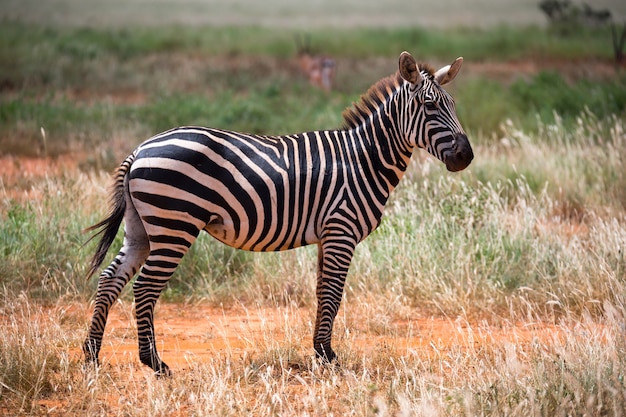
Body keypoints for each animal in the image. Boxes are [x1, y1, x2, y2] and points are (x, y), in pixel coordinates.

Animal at [84, 51, 472, 374]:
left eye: (454, 104)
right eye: (430, 105)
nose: (465, 156)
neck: (365, 159)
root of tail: (140, 149)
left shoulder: (328, 236)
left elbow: (322, 291)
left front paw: (320, 351)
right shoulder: (341, 230)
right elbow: (334, 293)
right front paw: (328, 357)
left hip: (142, 228)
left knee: (110, 279)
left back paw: (91, 356)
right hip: (174, 226)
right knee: (145, 287)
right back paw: (154, 362)